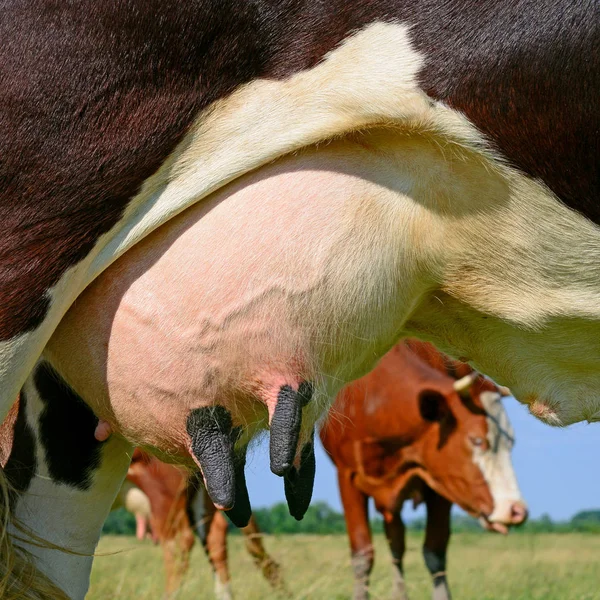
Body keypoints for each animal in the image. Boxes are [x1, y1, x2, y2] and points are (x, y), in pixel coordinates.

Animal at [322, 342, 528, 600]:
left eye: (511, 442)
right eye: (477, 440)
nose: (516, 510)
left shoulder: (441, 484)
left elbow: (434, 553)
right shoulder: (346, 476)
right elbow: (362, 556)